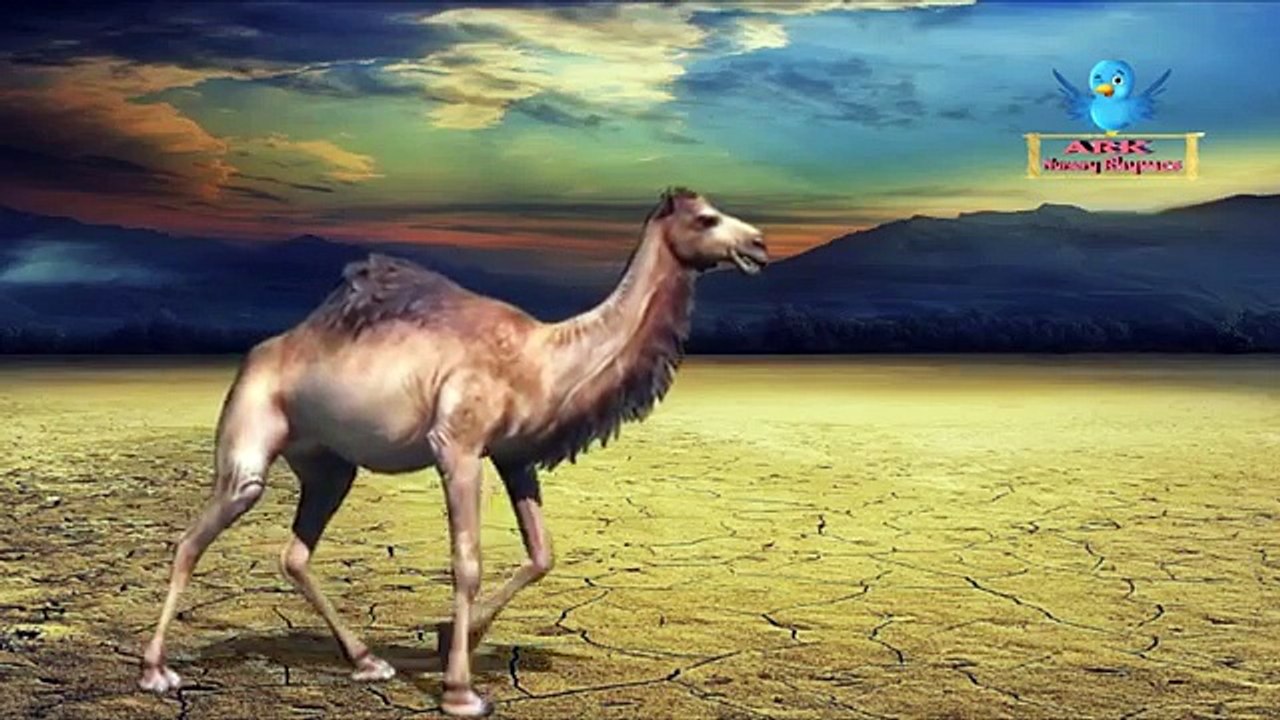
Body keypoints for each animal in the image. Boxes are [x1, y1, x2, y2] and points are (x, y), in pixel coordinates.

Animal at [137, 187, 768, 716]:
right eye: (706, 219)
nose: (760, 244)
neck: (545, 360)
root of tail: (255, 356)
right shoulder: (457, 445)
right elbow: (467, 563)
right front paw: (460, 690)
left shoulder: (514, 456)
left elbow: (543, 554)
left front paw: (449, 639)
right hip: (249, 439)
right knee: (193, 538)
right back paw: (156, 672)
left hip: (328, 466)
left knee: (294, 553)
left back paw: (369, 662)